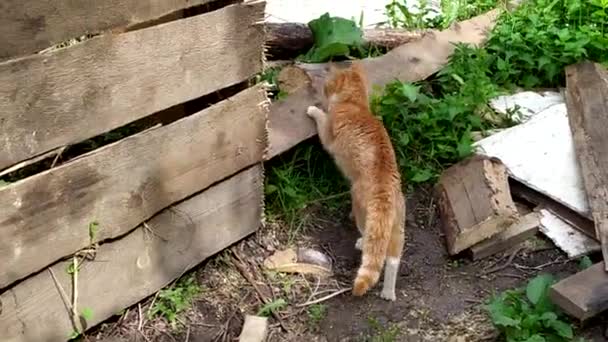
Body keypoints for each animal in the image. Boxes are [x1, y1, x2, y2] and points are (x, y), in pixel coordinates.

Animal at [306, 62, 406, 300]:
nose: (323, 92)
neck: (355, 104)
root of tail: (385, 188)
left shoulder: (328, 134)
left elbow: (321, 118)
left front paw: (313, 109)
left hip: (362, 210)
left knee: (373, 245)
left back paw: (361, 243)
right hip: (397, 225)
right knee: (392, 258)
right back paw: (388, 294)